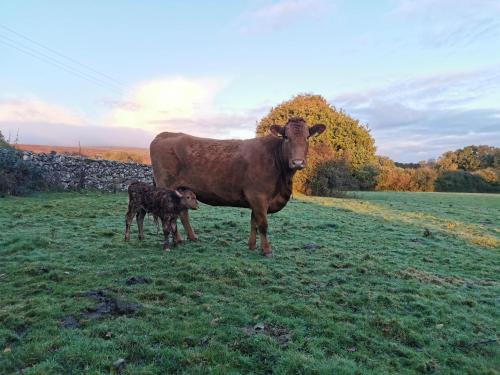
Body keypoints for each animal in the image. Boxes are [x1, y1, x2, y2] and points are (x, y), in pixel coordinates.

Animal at [150, 117, 326, 258]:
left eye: (307, 137)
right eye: (287, 137)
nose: (298, 162)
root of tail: (163, 134)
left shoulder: (256, 200)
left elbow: (254, 222)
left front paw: (252, 246)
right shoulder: (258, 196)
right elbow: (263, 224)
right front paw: (267, 250)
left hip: (182, 189)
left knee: (182, 213)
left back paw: (189, 238)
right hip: (166, 187)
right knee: (170, 215)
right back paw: (177, 240)